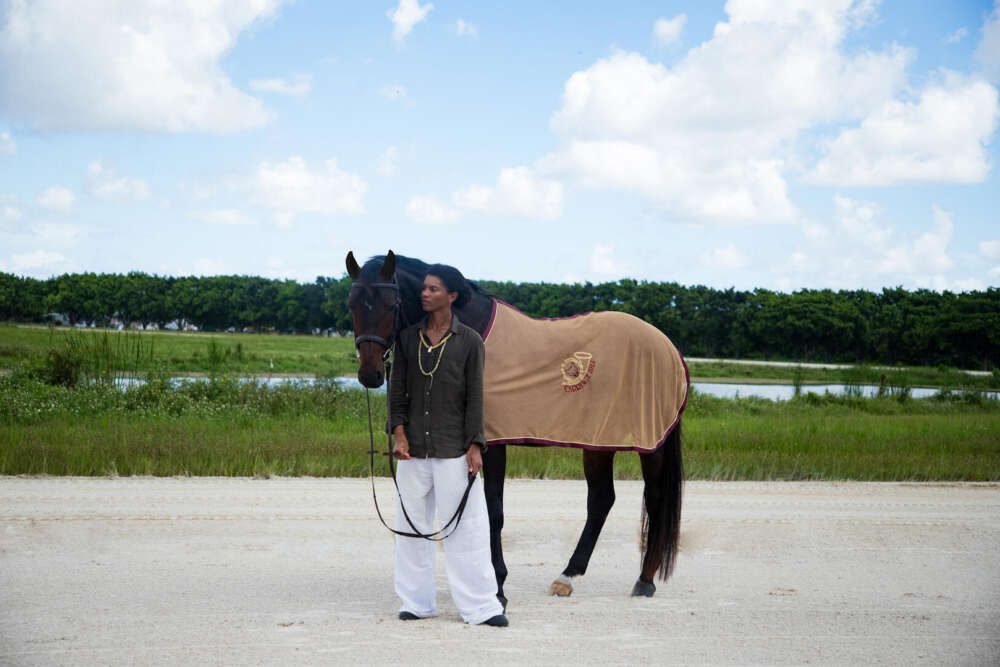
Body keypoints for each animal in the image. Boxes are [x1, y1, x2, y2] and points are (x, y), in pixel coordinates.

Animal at [346, 250, 685, 604]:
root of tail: (668, 347)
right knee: (601, 500)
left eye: (391, 304)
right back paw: (567, 576)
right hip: (598, 442)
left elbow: (494, 510)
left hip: (650, 444)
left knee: (655, 499)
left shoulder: (491, 444)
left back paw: (644, 580)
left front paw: (498, 586)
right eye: (352, 304)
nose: (369, 374)